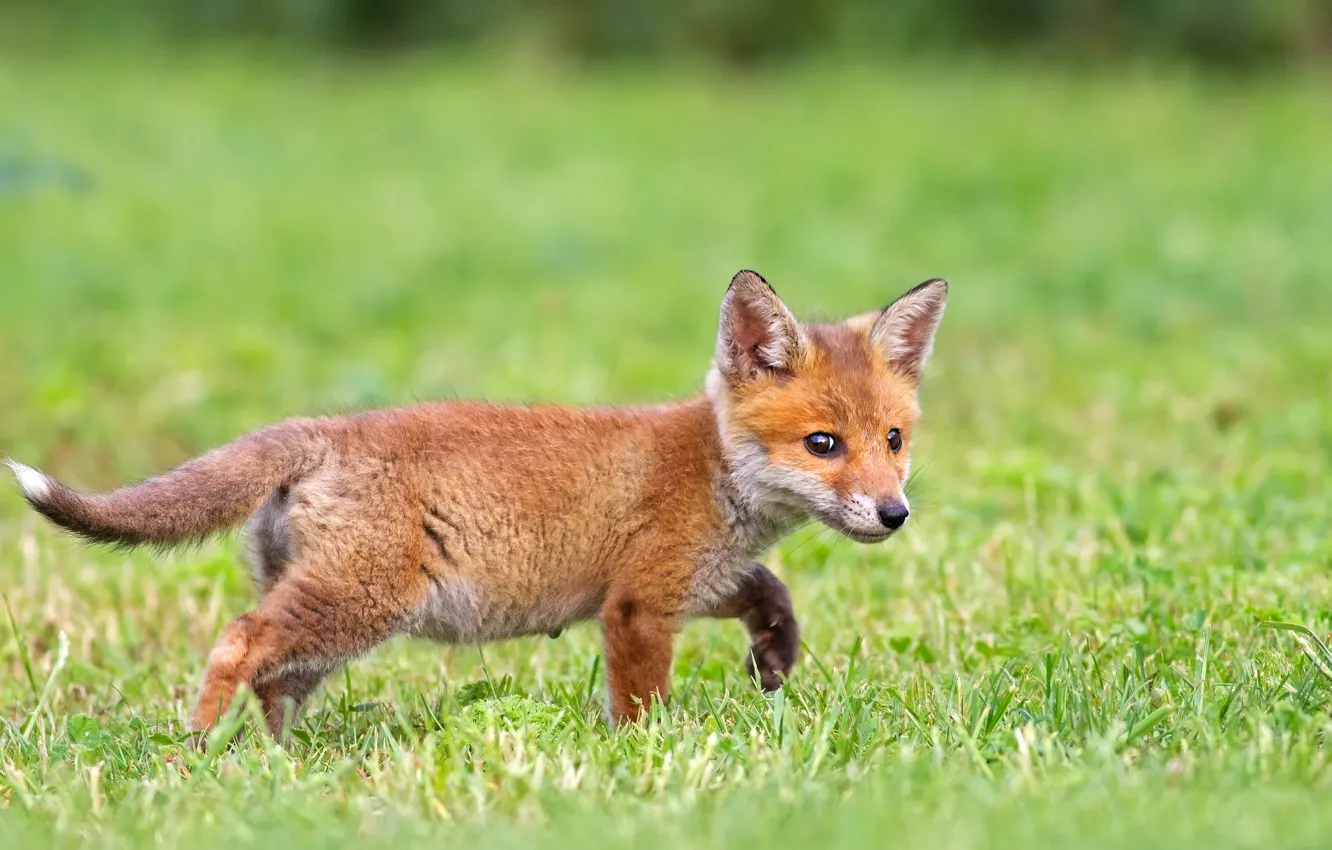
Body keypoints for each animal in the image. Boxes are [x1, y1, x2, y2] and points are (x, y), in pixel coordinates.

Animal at [10, 273, 948, 740]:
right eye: (823, 444)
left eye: (894, 439)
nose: (893, 514)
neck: (713, 468)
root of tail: (323, 428)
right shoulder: (639, 604)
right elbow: (640, 703)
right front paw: (643, 763)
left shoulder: (695, 580)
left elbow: (771, 594)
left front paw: (773, 663)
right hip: (357, 602)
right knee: (238, 641)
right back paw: (200, 751)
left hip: (332, 621)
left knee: (273, 678)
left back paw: (279, 766)